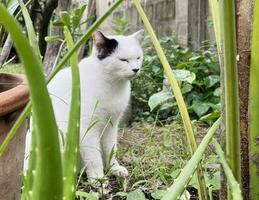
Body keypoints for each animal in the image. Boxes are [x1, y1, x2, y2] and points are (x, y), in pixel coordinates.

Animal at [24, 29, 144, 180]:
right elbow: (94, 156)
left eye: (138, 58)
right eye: (123, 60)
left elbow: (111, 149)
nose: (136, 69)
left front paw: (114, 168)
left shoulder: (111, 125)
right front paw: (98, 179)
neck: (113, 84)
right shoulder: (86, 127)